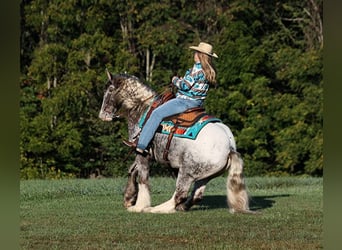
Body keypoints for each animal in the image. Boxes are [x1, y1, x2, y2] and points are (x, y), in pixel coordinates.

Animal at [97, 71, 252, 214]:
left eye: (110, 89)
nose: (103, 116)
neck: (143, 109)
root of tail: (230, 148)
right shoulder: (143, 153)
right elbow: (132, 170)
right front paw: (129, 198)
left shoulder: (141, 152)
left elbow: (142, 177)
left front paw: (139, 206)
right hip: (205, 175)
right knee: (196, 195)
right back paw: (180, 207)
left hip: (186, 172)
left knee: (179, 194)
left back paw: (156, 209)